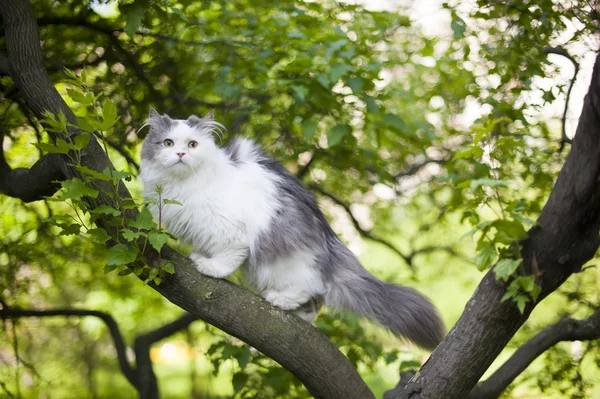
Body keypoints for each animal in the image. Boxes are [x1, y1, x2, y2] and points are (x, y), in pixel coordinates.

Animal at [139, 108, 446, 350]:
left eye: (192, 144)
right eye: (168, 143)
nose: (180, 153)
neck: (182, 186)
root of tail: (328, 242)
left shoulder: (232, 232)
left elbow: (228, 255)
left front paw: (210, 267)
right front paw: (200, 256)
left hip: (283, 263)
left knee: (312, 287)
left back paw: (280, 299)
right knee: (314, 306)